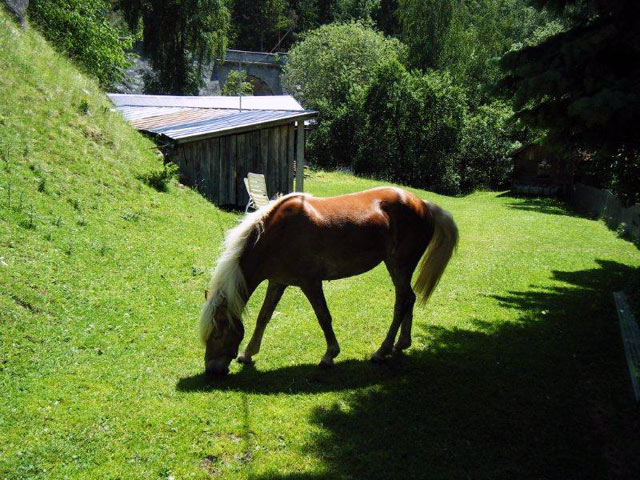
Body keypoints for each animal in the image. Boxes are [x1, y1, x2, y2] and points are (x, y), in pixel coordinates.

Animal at [198, 186, 458, 376]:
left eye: (217, 333)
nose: (212, 369)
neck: (277, 233)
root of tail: (423, 204)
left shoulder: (310, 283)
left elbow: (323, 317)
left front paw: (329, 355)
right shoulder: (277, 282)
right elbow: (264, 317)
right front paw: (248, 353)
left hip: (399, 265)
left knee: (402, 301)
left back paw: (381, 351)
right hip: (398, 267)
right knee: (409, 298)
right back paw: (401, 344)